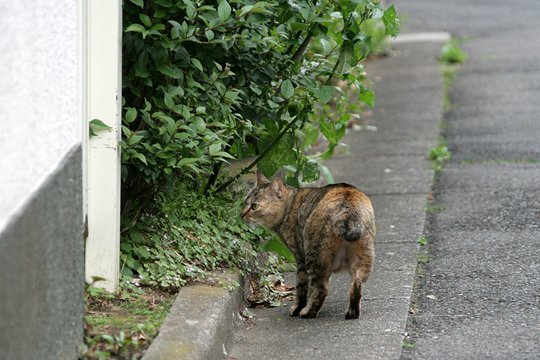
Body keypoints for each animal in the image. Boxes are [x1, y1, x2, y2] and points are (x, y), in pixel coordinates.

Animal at [242, 171, 376, 318]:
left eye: (254, 206)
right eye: (244, 203)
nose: (241, 214)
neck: (289, 206)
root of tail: (348, 207)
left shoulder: (300, 257)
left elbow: (302, 288)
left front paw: (297, 308)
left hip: (313, 255)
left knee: (321, 288)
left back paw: (307, 312)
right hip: (362, 258)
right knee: (356, 285)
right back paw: (352, 313)